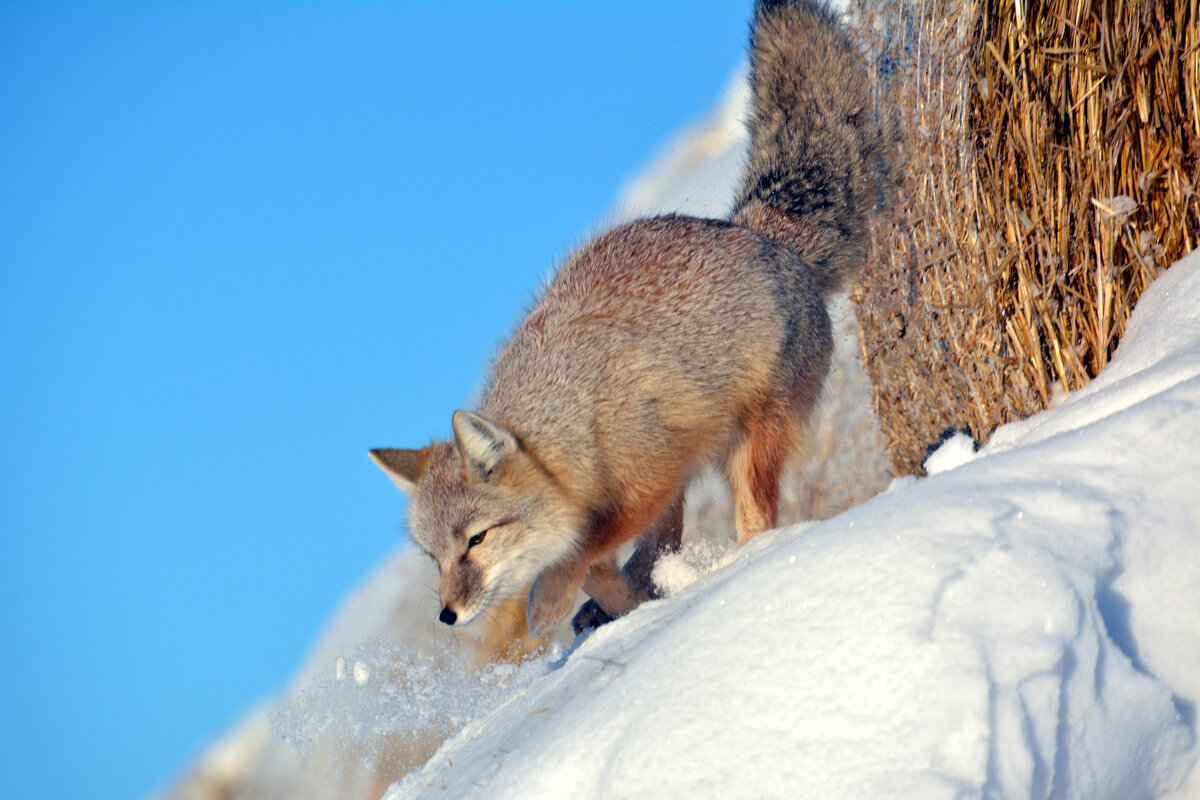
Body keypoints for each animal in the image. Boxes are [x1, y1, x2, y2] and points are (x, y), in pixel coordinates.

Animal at [369, 0, 897, 638]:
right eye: (434, 557)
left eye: (476, 539)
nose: (447, 614)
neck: (572, 421)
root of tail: (762, 233)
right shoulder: (646, 490)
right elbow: (593, 565)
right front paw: (618, 605)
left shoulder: (650, 478)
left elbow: (578, 553)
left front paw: (553, 601)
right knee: (657, 550)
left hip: (750, 443)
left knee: (752, 524)